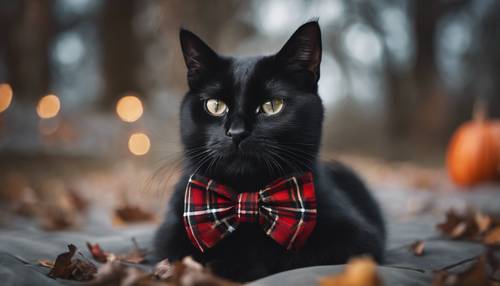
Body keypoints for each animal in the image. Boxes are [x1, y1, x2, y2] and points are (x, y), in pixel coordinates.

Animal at [154, 21, 384, 282]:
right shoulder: (169, 238)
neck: (249, 196)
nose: (237, 132)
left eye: (272, 106)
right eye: (215, 106)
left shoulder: (359, 240)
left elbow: (297, 255)